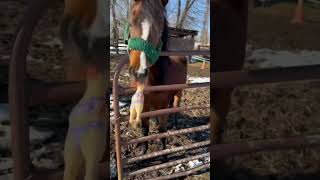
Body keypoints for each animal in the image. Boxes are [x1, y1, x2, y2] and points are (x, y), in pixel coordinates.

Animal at [127, 0, 188, 154]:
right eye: (132, 20)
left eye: (160, 25)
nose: (139, 71)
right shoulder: (145, 106)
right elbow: (145, 129)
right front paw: (143, 150)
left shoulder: (163, 106)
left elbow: (161, 130)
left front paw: (163, 152)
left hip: (178, 93)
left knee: (175, 108)